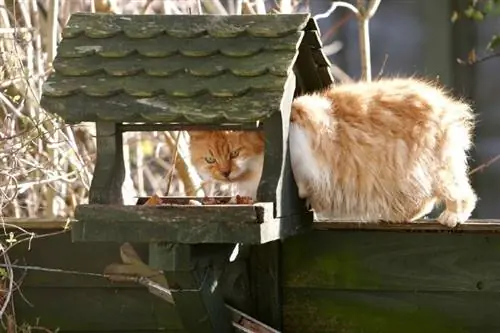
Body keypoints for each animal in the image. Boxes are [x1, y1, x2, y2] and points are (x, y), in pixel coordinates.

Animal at [188, 77, 476, 228]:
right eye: (210, 159)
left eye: (235, 153)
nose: (225, 173)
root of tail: (445, 104)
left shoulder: (307, 132)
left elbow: (305, 175)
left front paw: (304, 193)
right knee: (421, 202)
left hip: (433, 169)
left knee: (462, 195)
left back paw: (452, 216)